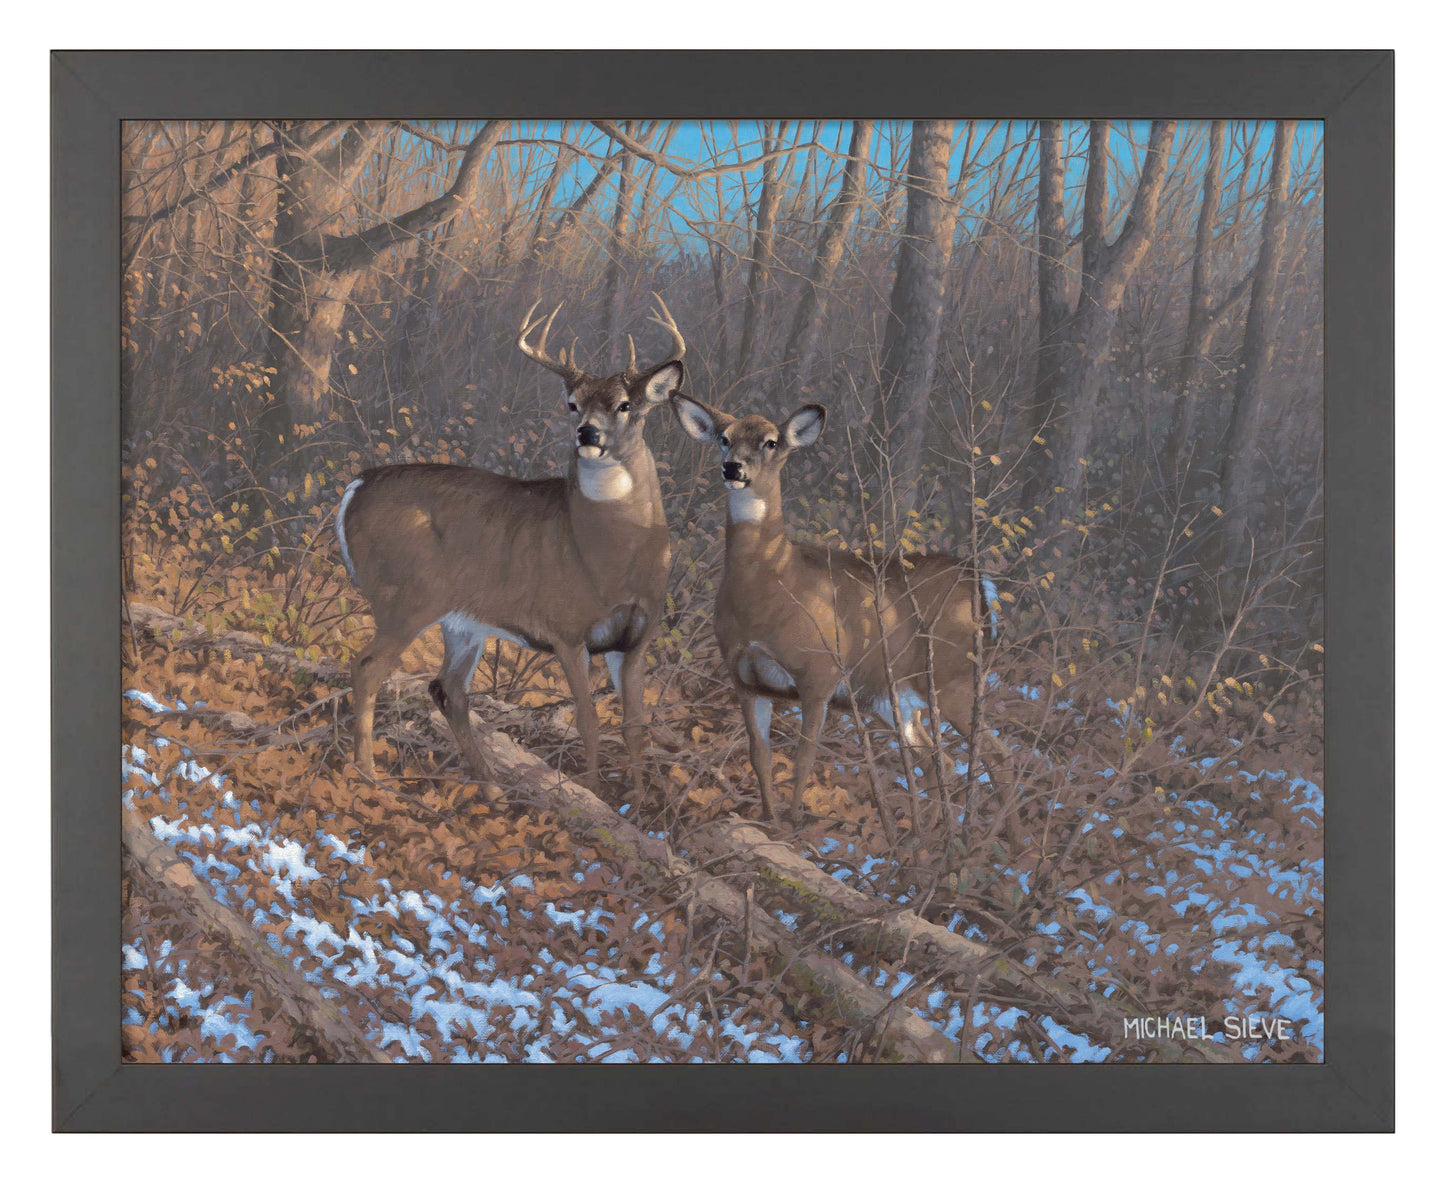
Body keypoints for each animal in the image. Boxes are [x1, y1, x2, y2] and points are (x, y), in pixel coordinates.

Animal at [336, 296, 686, 801]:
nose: (587, 434)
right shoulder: (566, 628)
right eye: (572, 404)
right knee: (367, 667)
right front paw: (591, 794)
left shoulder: (635, 639)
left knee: (447, 688)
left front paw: (636, 804)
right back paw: (370, 776)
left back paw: (491, 787)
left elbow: (634, 726)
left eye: (625, 405)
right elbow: (589, 720)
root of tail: (356, 487)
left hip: (462, 619)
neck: (614, 560)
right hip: (406, 595)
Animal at [670, 394, 1001, 825]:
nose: (733, 467)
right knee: (937, 761)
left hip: (952, 676)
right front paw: (768, 819)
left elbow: (803, 758)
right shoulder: (744, 679)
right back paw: (924, 834)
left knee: (995, 755)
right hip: (892, 698)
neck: (772, 585)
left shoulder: (819, 673)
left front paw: (794, 823)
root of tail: (979, 583)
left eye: (771, 442)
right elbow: (760, 756)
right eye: (724, 438)